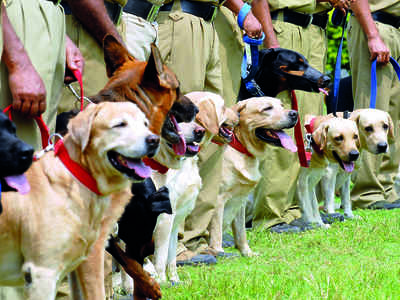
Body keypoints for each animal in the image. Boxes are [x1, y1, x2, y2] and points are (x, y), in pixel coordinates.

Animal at [209, 97, 296, 256]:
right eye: (267, 108)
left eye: (282, 105)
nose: (294, 113)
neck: (241, 149)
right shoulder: (218, 199)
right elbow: (216, 232)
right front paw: (219, 253)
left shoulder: (240, 200)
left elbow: (241, 233)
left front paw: (247, 254)